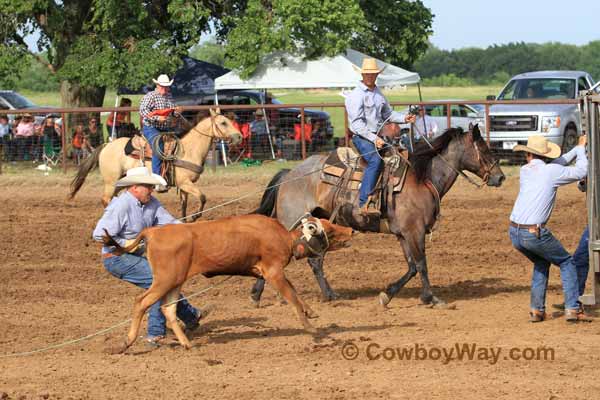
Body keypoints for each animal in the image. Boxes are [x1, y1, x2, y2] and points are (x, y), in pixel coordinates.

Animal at [68, 108, 241, 222]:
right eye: (223, 122)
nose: (239, 137)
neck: (189, 149)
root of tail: (106, 145)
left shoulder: (184, 185)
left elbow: (184, 204)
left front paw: (186, 220)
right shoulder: (185, 183)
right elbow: (203, 197)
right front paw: (195, 216)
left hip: (121, 181)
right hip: (111, 181)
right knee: (105, 199)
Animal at [105, 214, 354, 352]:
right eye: (329, 229)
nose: (351, 229)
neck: (284, 237)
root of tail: (154, 232)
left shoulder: (273, 273)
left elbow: (294, 291)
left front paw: (310, 311)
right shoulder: (273, 273)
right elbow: (291, 296)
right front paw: (310, 327)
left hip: (174, 282)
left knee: (168, 309)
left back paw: (187, 344)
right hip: (164, 280)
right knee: (141, 302)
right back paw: (126, 342)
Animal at [248, 126, 506, 308]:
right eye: (484, 149)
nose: (500, 177)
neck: (422, 177)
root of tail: (289, 174)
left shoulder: (403, 234)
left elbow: (412, 267)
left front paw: (387, 295)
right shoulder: (414, 231)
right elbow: (421, 265)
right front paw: (431, 298)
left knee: (315, 261)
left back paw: (325, 295)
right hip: (292, 221)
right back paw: (261, 294)